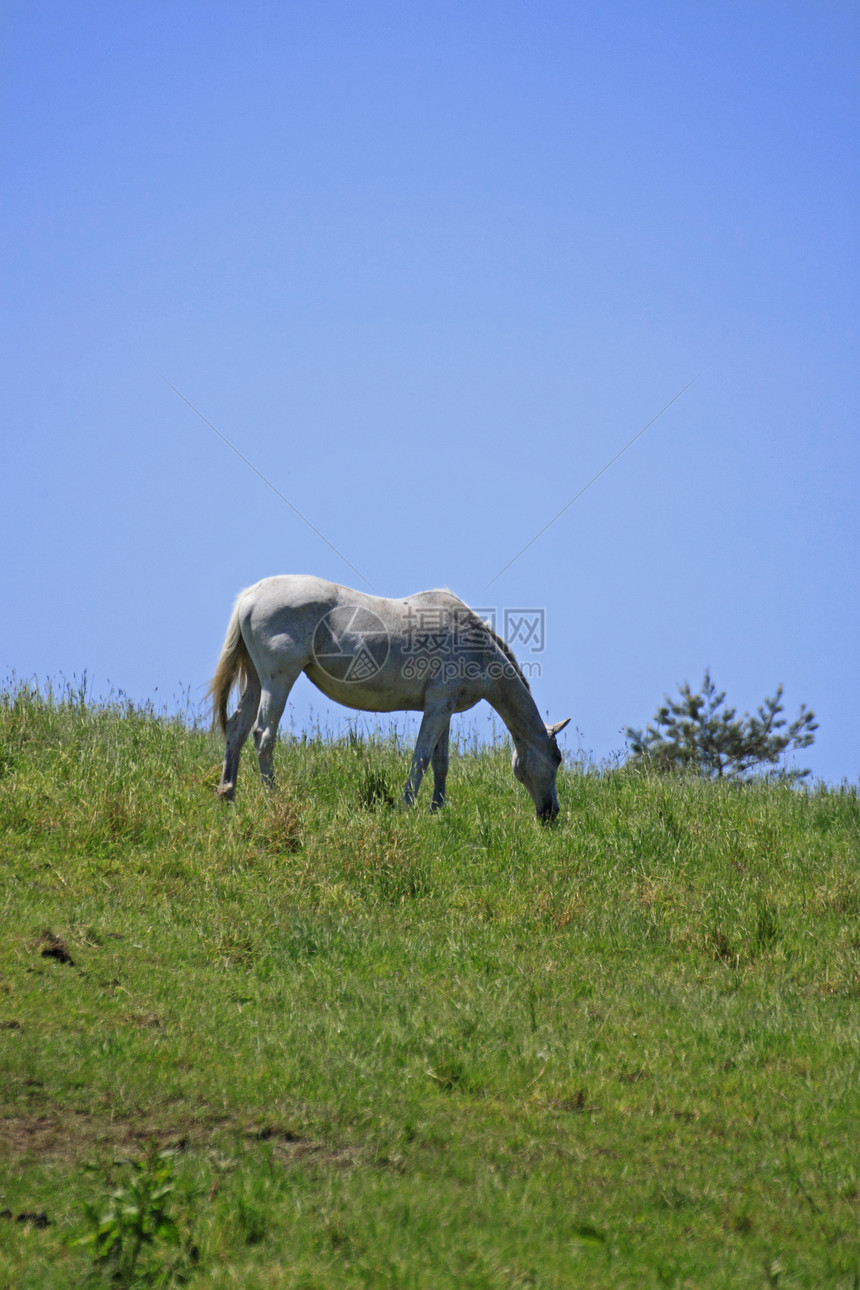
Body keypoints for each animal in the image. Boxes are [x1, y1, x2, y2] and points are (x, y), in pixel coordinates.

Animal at [208, 577, 572, 820]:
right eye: (557, 758)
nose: (551, 814)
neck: (475, 645)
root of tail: (251, 596)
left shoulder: (444, 709)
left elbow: (441, 763)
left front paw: (436, 811)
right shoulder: (437, 708)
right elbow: (421, 759)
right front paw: (407, 806)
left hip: (257, 680)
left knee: (238, 729)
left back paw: (227, 794)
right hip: (278, 679)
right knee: (263, 735)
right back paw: (272, 795)